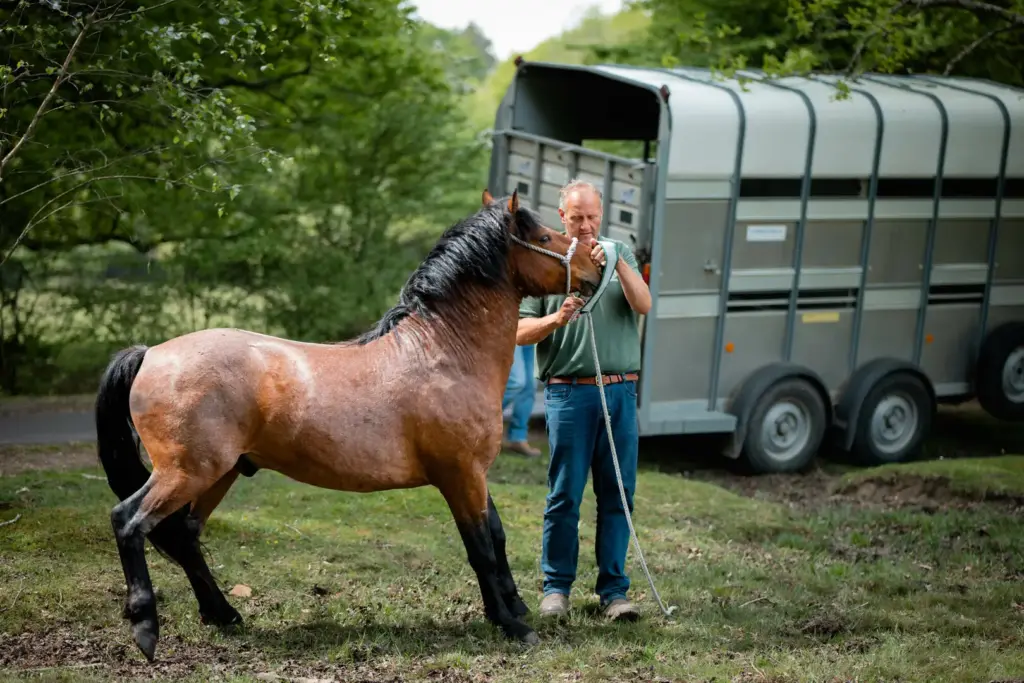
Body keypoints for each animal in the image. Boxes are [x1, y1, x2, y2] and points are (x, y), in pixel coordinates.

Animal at [93, 188, 602, 662]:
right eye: (544, 238)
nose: (595, 268)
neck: (443, 351)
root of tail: (151, 353)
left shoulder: (473, 473)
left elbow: (495, 535)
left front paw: (513, 608)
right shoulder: (460, 474)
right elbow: (479, 545)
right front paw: (511, 625)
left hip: (218, 473)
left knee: (183, 534)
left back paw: (222, 614)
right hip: (186, 472)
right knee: (129, 521)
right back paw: (146, 627)